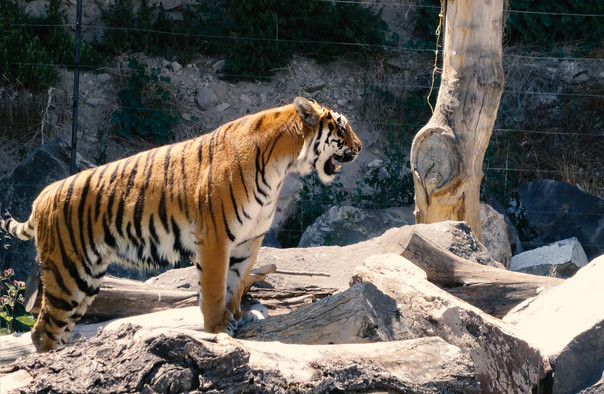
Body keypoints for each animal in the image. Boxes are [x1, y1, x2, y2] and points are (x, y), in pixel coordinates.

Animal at [0, 97, 358, 352]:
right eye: (341, 127)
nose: (360, 147)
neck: (282, 166)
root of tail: (41, 196)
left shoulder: (248, 241)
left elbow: (237, 283)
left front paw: (239, 315)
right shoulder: (215, 237)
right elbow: (214, 287)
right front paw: (217, 327)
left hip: (86, 278)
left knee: (56, 328)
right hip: (68, 272)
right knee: (44, 332)